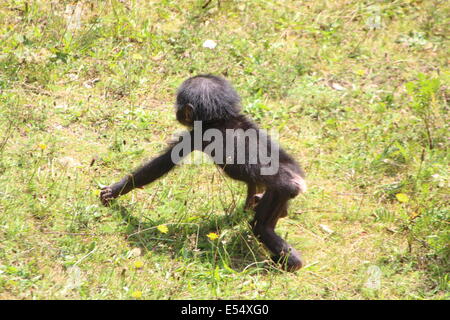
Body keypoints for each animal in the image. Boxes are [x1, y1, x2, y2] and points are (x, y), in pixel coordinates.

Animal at [100, 74, 308, 270]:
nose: (177, 112)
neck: (221, 118)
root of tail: (297, 181)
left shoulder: (196, 136)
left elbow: (161, 164)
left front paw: (115, 190)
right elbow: (252, 183)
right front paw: (251, 200)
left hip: (282, 190)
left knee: (261, 227)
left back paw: (290, 261)